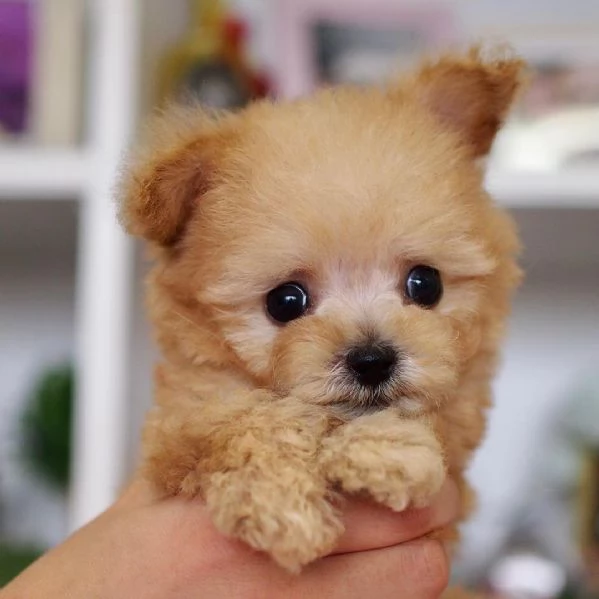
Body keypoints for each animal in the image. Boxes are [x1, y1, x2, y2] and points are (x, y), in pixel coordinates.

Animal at [120, 48, 524, 576]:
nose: (372, 360)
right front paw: (284, 510)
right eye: (285, 301)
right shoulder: (180, 426)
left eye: (426, 284)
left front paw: (384, 450)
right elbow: (242, 423)